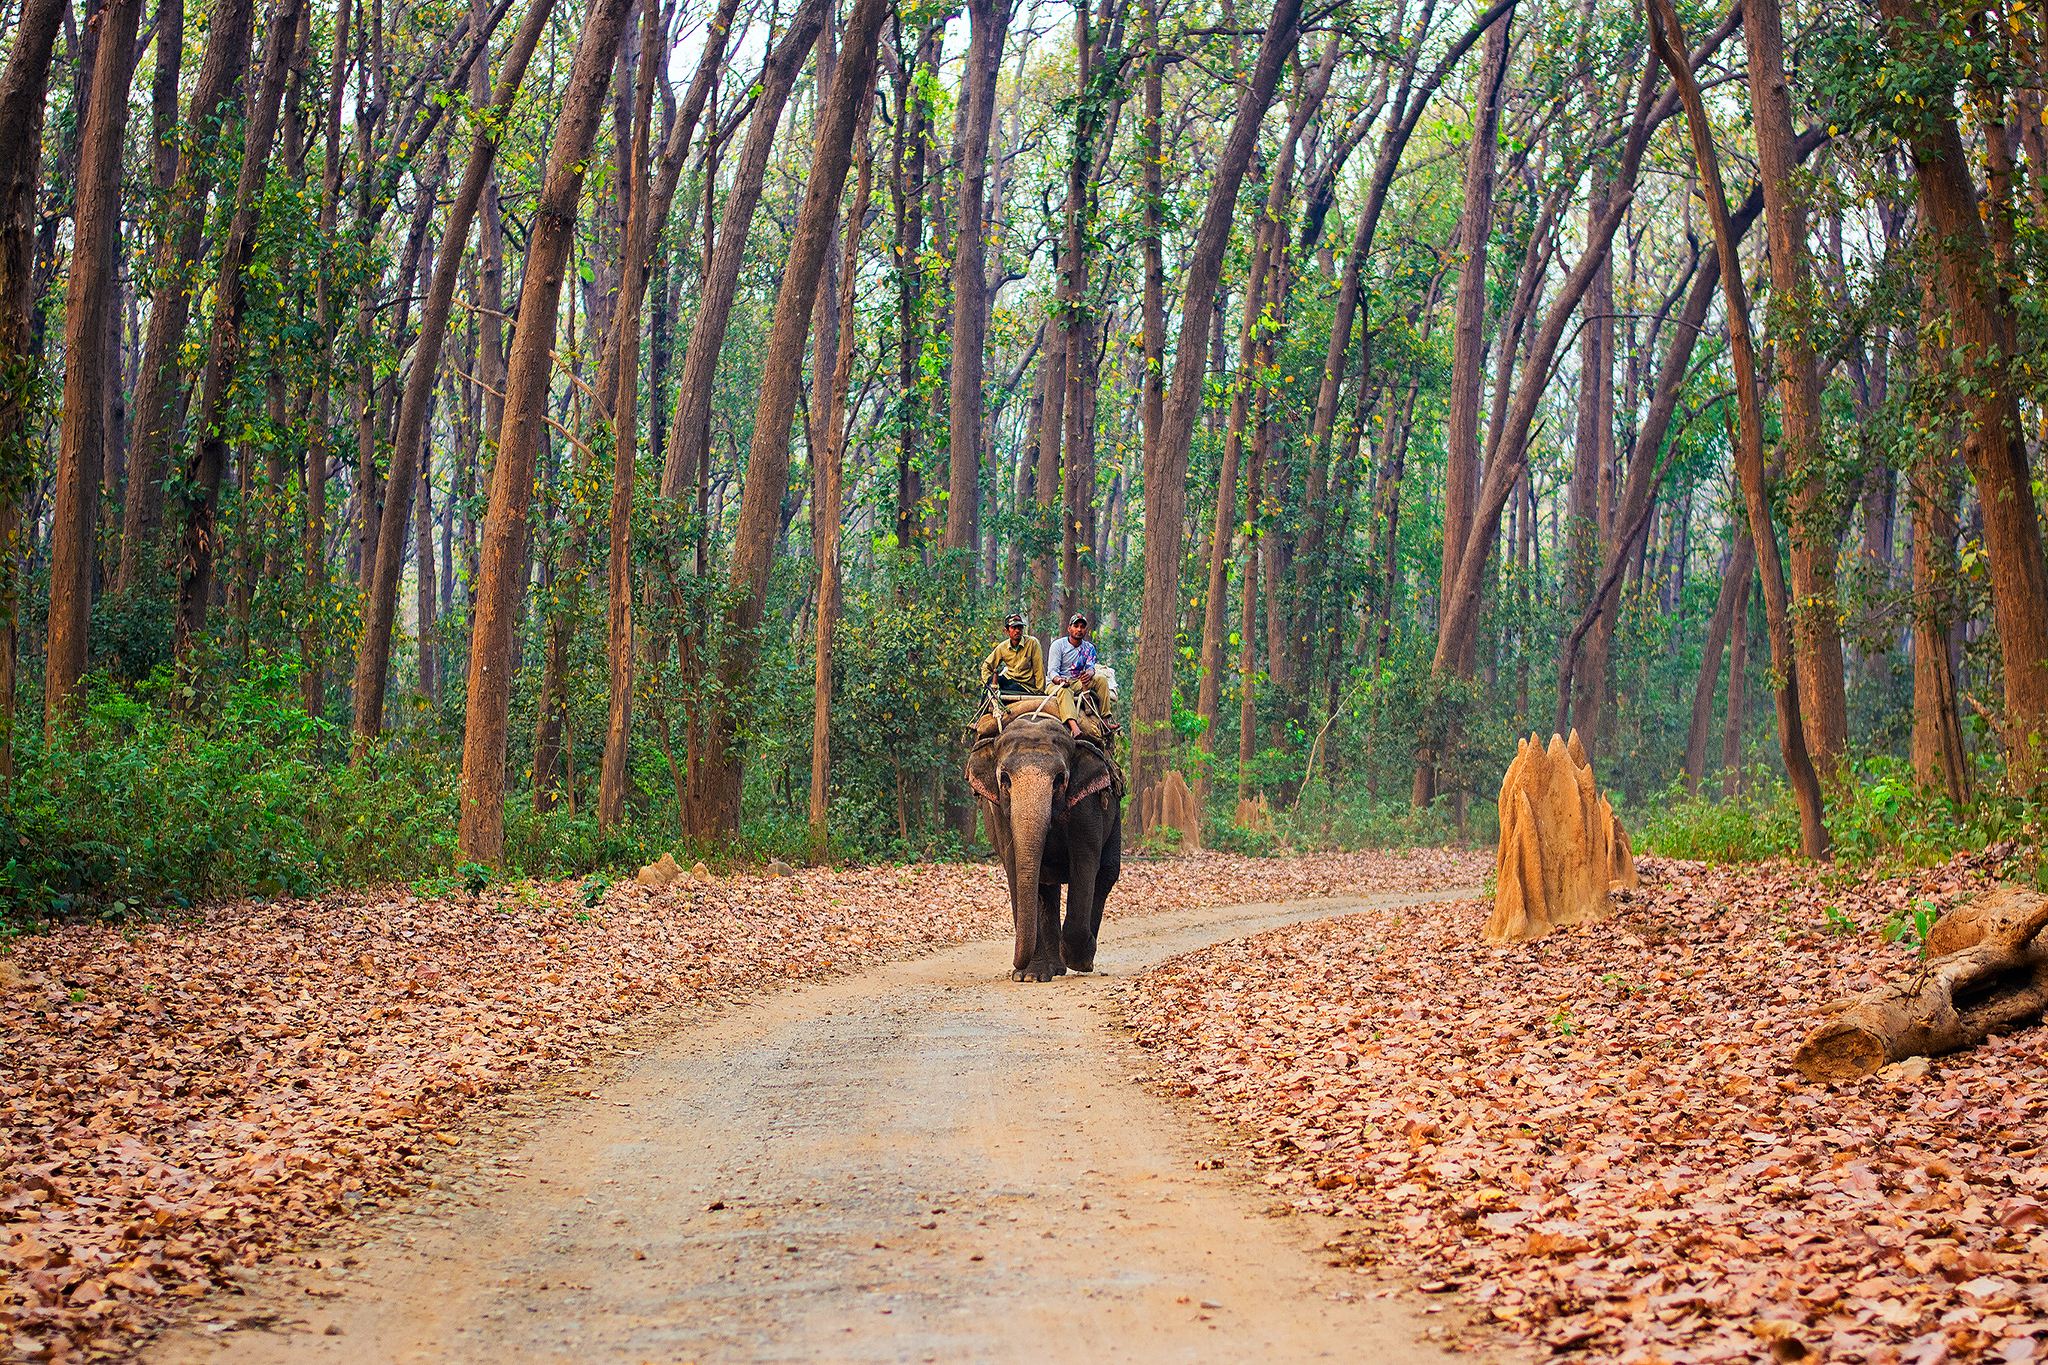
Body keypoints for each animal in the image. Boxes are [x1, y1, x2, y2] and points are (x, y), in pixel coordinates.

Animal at [962, 716, 1122, 982]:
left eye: (1059, 779)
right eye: (1004, 778)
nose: (1015, 964)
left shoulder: (1087, 804)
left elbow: (1085, 861)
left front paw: (1079, 960)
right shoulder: (999, 812)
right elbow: (1015, 865)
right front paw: (1028, 976)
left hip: (1115, 815)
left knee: (1106, 873)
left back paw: (1082, 958)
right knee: (1047, 887)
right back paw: (1054, 969)